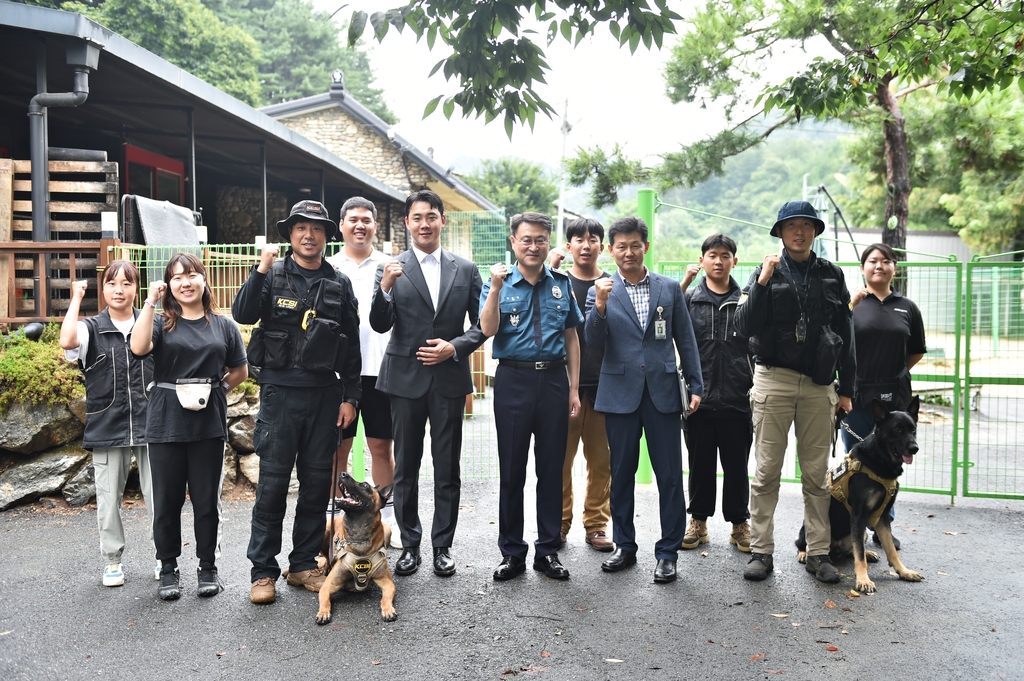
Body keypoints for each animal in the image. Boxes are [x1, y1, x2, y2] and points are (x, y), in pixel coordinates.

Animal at [311, 473, 395, 622]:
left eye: (365, 485)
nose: (342, 474)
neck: (359, 539)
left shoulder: (387, 582)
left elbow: (385, 598)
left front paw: (388, 609)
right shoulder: (328, 585)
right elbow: (325, 599)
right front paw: (323, 612)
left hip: (387, 529)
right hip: (324, 532)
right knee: (326, 555)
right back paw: (326, 567)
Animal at [798, 395, 929, 593]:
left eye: (913, 429)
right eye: (897, 429)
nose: (915, 448)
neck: (879, 460)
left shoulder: (882, 517)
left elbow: (890, 550)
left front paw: (904, 572)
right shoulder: (858, 516)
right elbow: (859, 555)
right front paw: (863, 580)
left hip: (861, 532)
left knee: (854, 547)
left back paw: (868, 552)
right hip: (811, 527)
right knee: (802, 543)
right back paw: (804, 553)